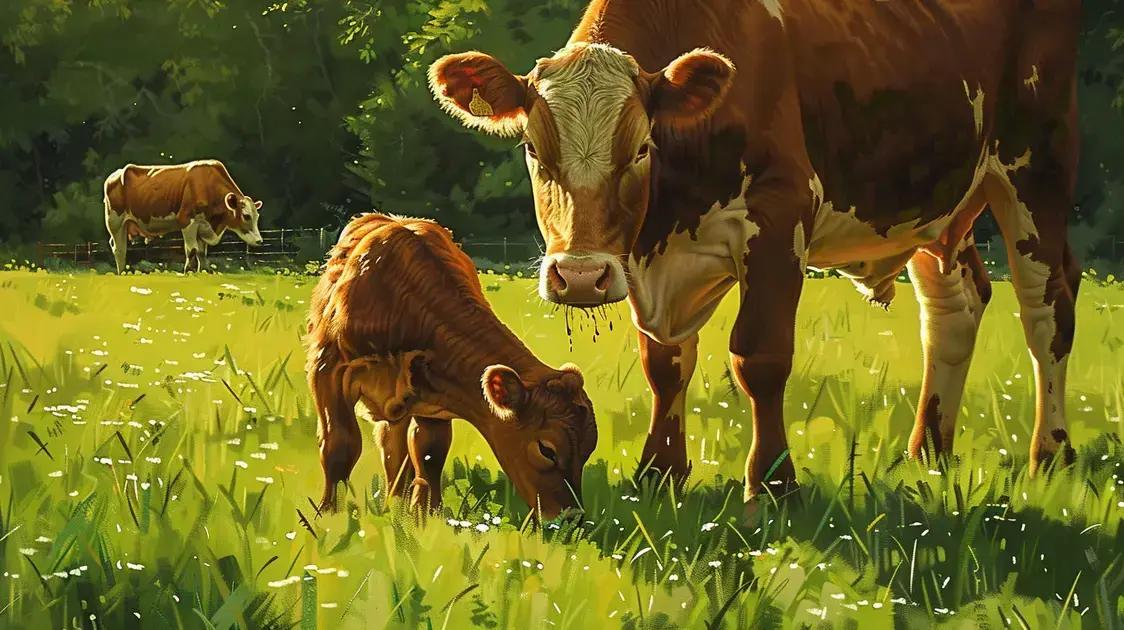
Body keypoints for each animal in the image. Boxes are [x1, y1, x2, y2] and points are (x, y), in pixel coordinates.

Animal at [103, 160, 264, 273]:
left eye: (257, 216)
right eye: (246, 216)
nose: (260, 241)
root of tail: (116, 174)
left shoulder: (203, 225)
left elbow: (201, 252)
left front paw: (204, 271)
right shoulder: (187, 221)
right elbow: (191, 250)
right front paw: (188, 271)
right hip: (115, 222)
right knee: (119, 249)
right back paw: (122, 273)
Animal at [305, 213, 597, 518]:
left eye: (588, 450)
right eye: (546, 450)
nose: (571, 517)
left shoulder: (433, 398)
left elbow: (428, 454)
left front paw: (426, 517)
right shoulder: (327, 367)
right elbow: (340, 445)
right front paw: (328, 514)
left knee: (394, 449)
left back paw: (395, 505)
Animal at [428, 0, 1083, 500]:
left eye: (641, 147)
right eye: (534, 150)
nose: (582, 276)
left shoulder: (780, 213)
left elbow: (759, 356)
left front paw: (772, 484)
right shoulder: (644, 260)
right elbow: (664, 364)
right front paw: (659, 474)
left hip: (1036, 162)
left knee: (1047, 308)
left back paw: (1050, 456)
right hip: (935, 202)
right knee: (955, 307)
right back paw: (929, 452)